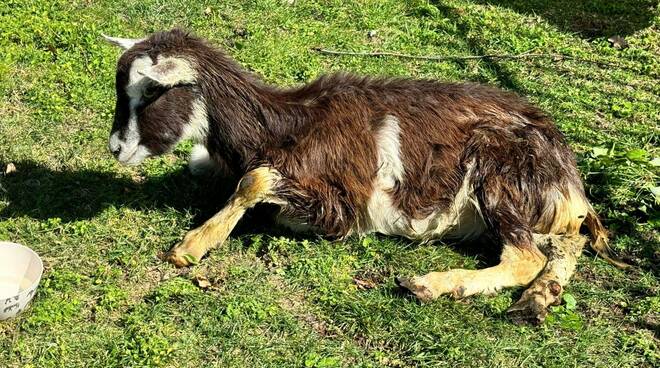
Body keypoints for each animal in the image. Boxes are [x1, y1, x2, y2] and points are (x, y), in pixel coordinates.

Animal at [102, 28, 624, 324]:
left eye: (151, 92)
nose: (116, 149)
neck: (284, 124)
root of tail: (569, 176)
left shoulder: (340, 204)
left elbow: (256, 181)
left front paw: (190, 246)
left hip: (498, 175)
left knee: (525, 255)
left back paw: (430, 285)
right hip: (541, 207)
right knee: (566, 243)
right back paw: (535, 301)